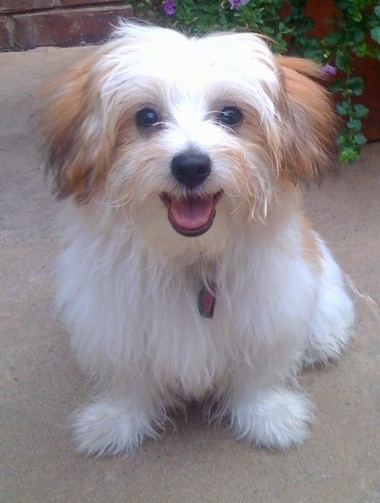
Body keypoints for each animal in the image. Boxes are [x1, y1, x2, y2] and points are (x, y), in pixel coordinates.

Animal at [41, 22, 354, 456]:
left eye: (230, 115)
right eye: (146, 117)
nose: (191, 165)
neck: (190, 255)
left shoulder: (267, 310)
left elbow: (258, 371)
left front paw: (268, 417)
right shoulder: (116, 317)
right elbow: (128, 374)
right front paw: (116, 421)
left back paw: (322, 341)